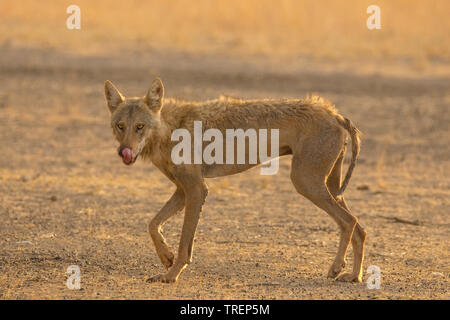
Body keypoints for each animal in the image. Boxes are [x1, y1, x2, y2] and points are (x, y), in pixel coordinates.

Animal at [104, 77, 366, 282]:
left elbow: (184, 243)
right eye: (120, 126)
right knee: (360, 229)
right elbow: (153, 224)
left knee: (349, 222)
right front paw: (165, 258)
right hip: (328, 187)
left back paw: (336, 268)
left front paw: (171, 275)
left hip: (305, 183)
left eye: (140, 126)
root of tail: (334, 113)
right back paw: (354, 276)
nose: (124, 151)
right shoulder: (182, 190)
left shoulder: (197, 189)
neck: (169, 129)